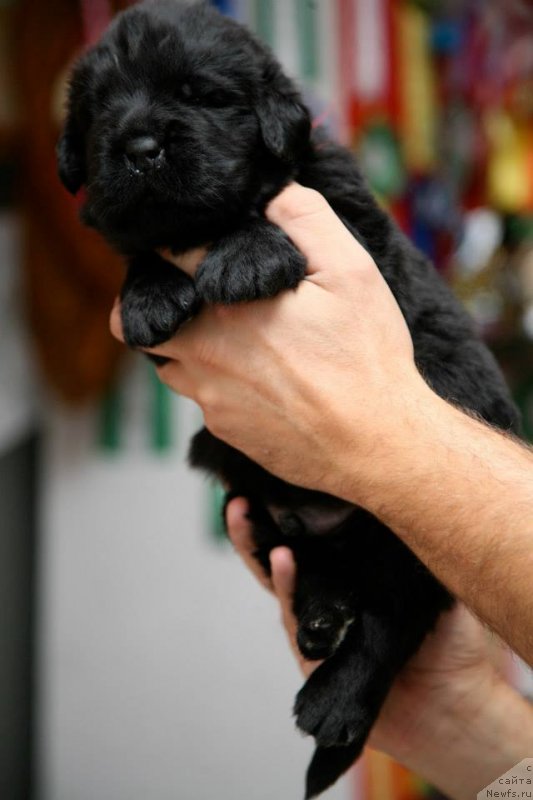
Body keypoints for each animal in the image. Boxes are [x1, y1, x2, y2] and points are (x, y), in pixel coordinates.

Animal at [57, 3, 520, 796]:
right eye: (100, 112)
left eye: (202, 95)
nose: (141, 147)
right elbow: (142, 253)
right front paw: (150, 293)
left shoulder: (358, 238)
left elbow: (270, 210)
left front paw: (248, 254)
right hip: (252, 498)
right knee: (333, 570)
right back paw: (322, 613)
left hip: (409, 540)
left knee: (396, 611)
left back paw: (333, 698)